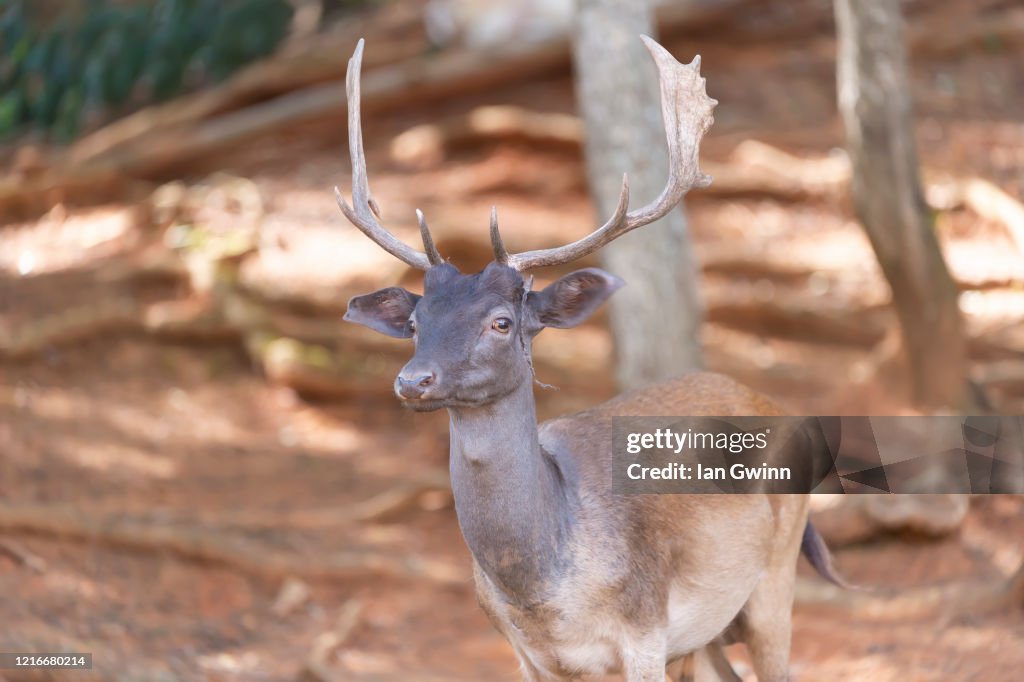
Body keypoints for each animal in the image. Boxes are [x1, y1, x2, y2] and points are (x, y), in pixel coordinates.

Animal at [335, 37, 839, 679]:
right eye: (415, 323)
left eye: (501, 322)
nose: (412, 380)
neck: (542, 592)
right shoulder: (527, 655)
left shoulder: (644, 628)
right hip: (705, 636)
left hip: (775, 574)